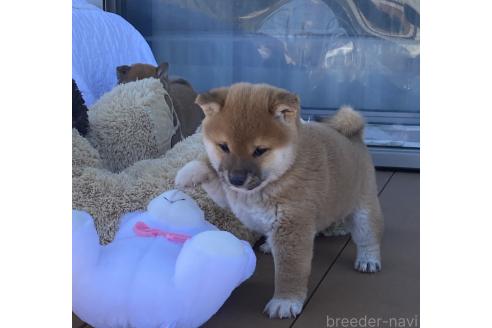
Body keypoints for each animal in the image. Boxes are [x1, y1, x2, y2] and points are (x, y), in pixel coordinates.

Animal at [175, 83, 382, 320]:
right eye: (224, 146)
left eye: (259, 150)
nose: (236, 179)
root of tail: (355, 136)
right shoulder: (230, 197)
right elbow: (212, 174)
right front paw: (189, 172)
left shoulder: (292, 225)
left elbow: (289, 271)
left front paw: (285, 301)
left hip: (363, 209)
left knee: (369, 236)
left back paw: (369, 259)